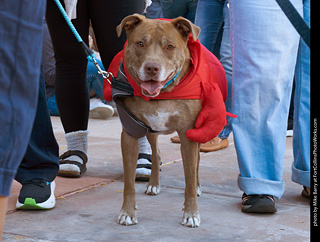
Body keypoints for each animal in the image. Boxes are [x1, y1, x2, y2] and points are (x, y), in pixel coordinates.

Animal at [115, 14, 202, 227]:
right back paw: (153, 184)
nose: (152, 68)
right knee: (155, 154)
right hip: (150, 131)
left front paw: (191, 213)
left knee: (197, 162)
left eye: (170, 46)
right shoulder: (130, 133)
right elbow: (128, 182)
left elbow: (189, 176)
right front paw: (127, 212)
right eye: (140, 43)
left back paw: (197, 186)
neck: (162, 95)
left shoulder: (188, 135)